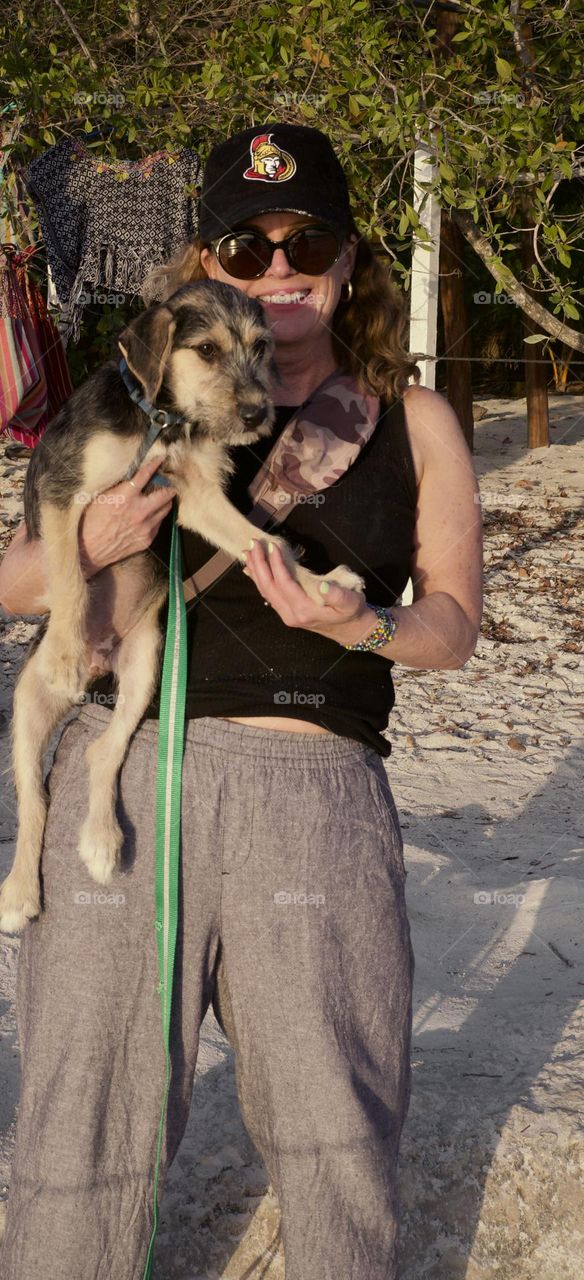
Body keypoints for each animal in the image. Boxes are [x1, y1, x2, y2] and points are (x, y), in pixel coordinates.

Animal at [0, 280, 363, 936]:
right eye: (206, 350)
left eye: (260, 346)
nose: (257, 414)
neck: (162, 420)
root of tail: (104, 665)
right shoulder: (65, 492)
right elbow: (68, 575)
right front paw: (65, 651)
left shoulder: (195, 499)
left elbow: (265, 543)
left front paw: (321, 586)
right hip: (28, 705)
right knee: (34, 796)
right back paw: (18, 894)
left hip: (148, 666)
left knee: (100, 751)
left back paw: (101, 841)